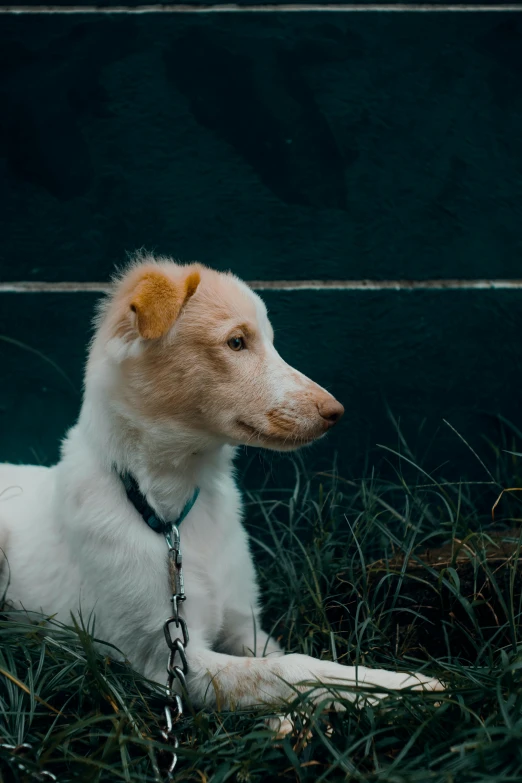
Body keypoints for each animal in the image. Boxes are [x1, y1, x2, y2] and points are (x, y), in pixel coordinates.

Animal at [0, 258, 438, 716]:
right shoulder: (170, 661)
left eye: (270, 342)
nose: (335, 412)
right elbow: (293, 668)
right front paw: (401, 687)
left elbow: (280, 663)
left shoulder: (246, 627)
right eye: (236, 342)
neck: (173, 516)